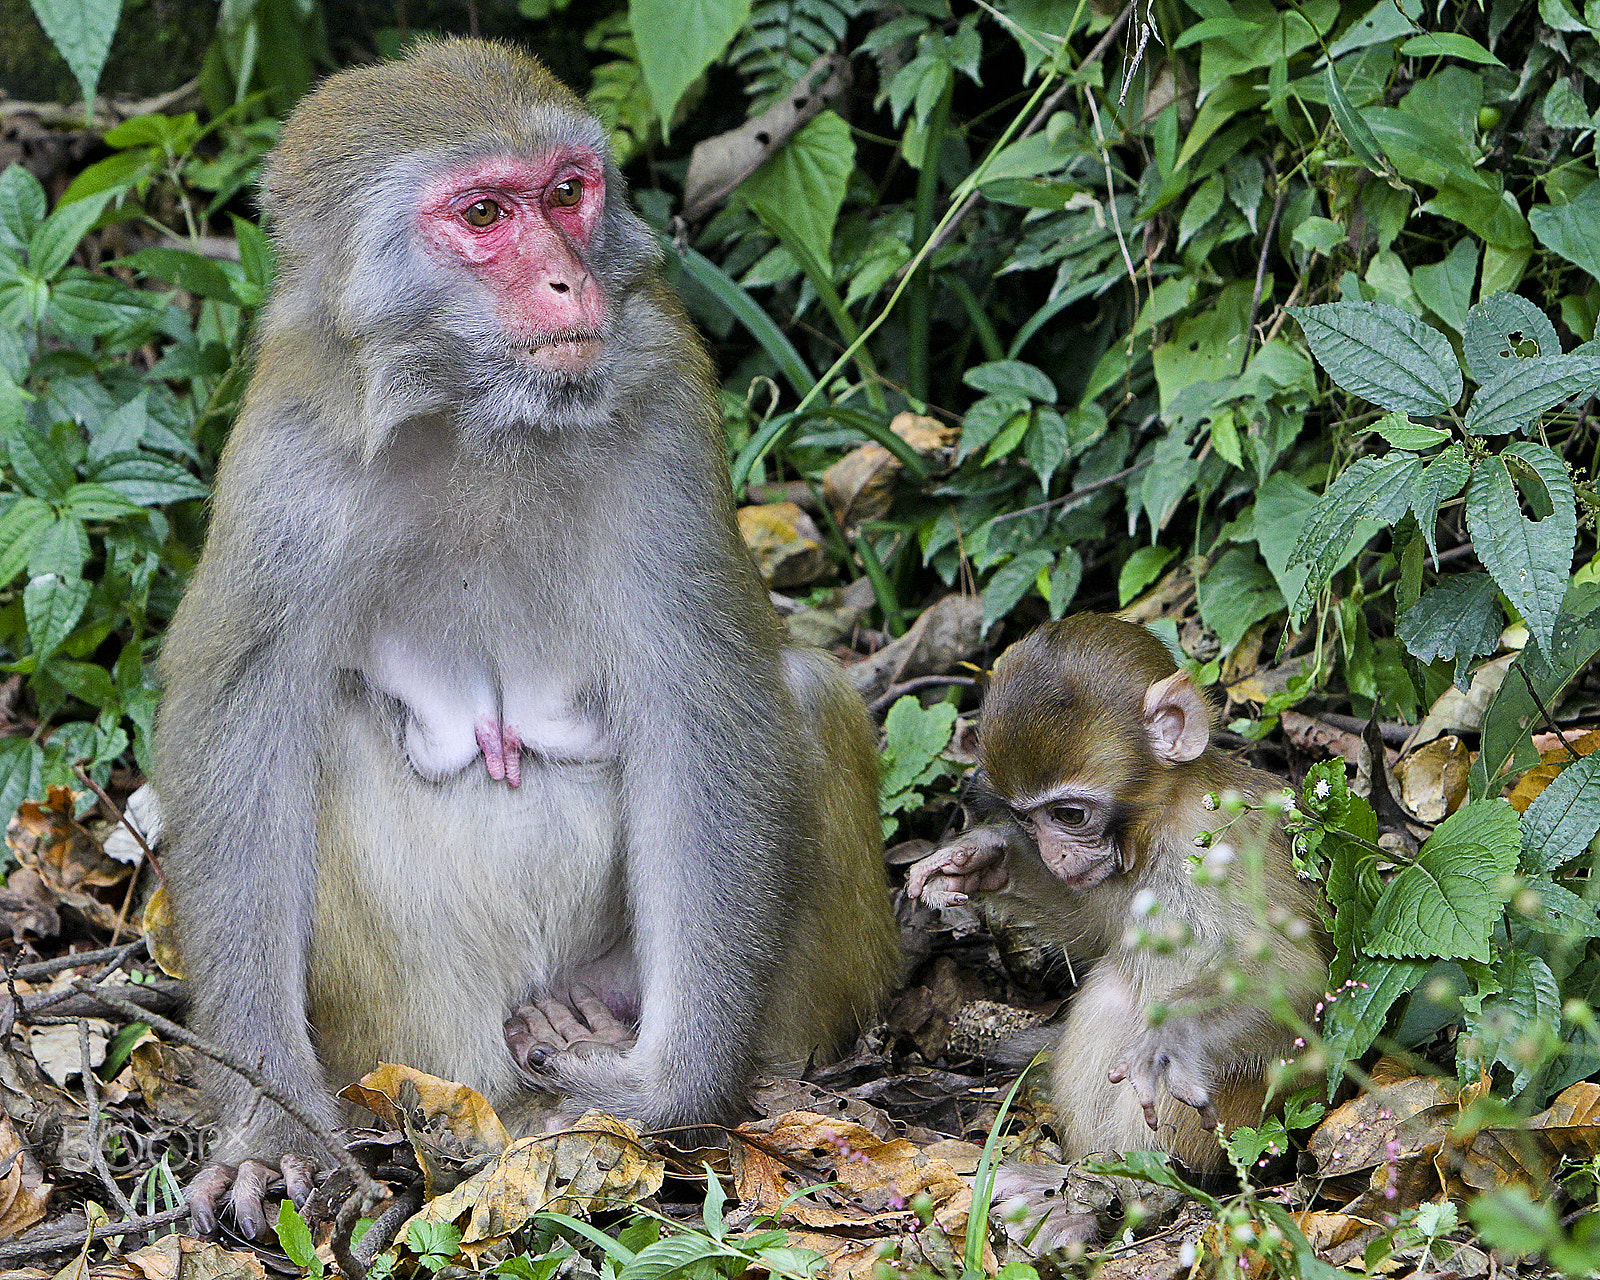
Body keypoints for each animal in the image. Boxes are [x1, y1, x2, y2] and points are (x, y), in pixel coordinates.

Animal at [153, 38, 899, 1238]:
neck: (477, 415)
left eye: (565, 193)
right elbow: (241, 743)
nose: (570, 280)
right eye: (484, 212)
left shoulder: (665, 408)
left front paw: (671, 1088)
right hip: (417, 1026)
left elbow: (705, 703)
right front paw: (273, 1128)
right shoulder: (288, 462)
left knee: (802, 692)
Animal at [905, 615, 1327, 1249]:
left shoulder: (1220, 840)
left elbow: (1295, 973)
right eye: (1027, 818)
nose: (1053, 856)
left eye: (1069, 815)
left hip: (1249, 1120)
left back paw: (1131, 1196)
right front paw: (983, 858)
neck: (1161, 819)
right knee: (1111, 993)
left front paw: (1170, 1038)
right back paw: (1073, 1180)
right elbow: (1095, 932)